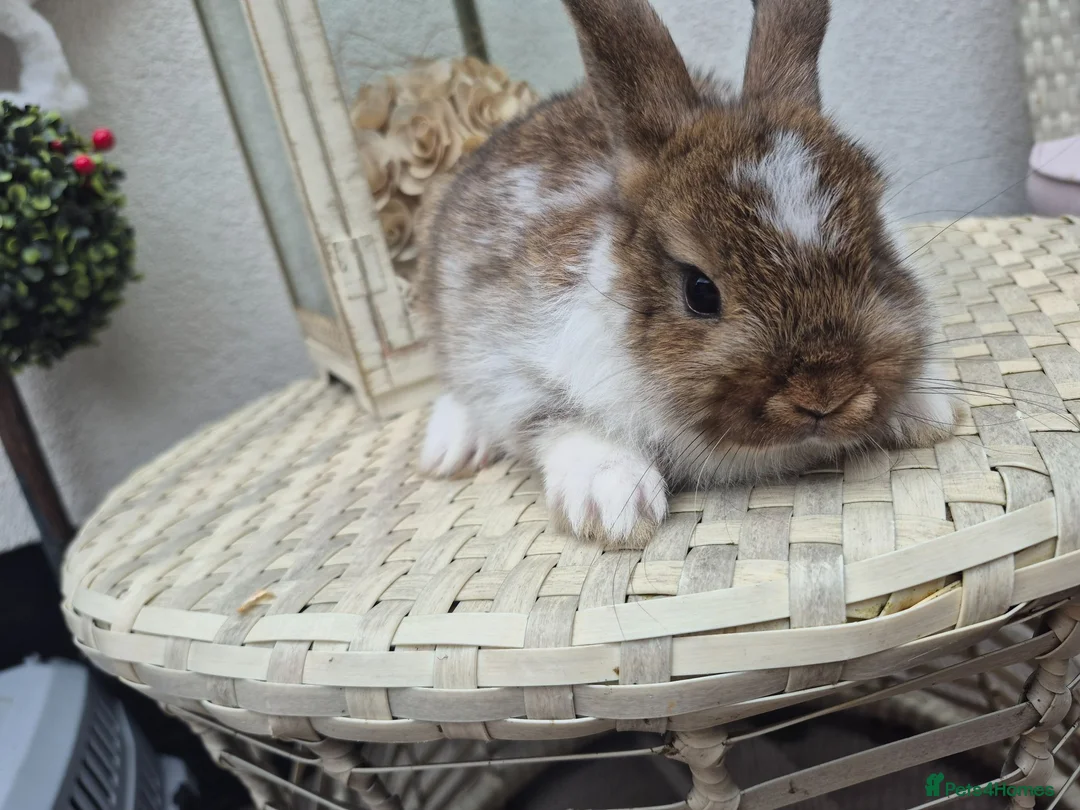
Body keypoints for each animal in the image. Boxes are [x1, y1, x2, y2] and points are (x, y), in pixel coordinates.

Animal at [417, 0, 959, 549]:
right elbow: (561, 422)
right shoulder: (513, 367)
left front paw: (928, 412)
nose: (824, 395)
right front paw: (615, 507)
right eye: (700, 292)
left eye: (876, 261)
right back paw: (449, 450)